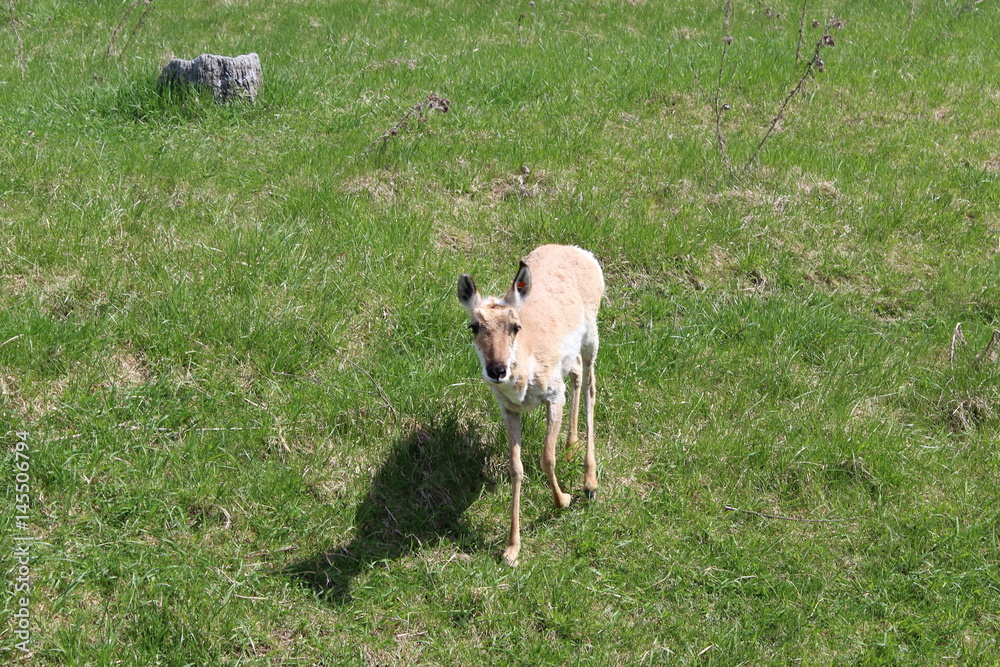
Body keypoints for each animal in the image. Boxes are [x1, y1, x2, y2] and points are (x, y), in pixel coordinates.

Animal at [457, 244, 604, 566]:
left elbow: (546, 458)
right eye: (474, 326)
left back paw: (589, 482)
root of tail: (577, 251)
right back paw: (571, 445)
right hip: (573, 357)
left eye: (515, 326)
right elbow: (516, 468)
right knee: (576, 372)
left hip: (591, 340)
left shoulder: (554, 397)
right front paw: (511, 550)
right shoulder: (509, 411)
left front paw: (563, 500)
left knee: (589, 385)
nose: (497, 370)